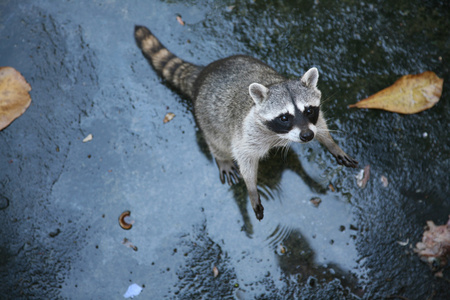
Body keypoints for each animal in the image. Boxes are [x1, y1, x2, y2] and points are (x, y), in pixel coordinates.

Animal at [135, 25, 356, 221]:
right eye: (284, 117)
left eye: (308, 110)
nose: (307, 136)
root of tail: (204, 72)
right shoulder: (247, 130)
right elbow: (244, 157)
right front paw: (251, 188)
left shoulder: (311, 120)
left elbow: (320, 125)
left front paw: (331, 144)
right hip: (206, 117)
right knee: (216, 140)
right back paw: (221, 156)